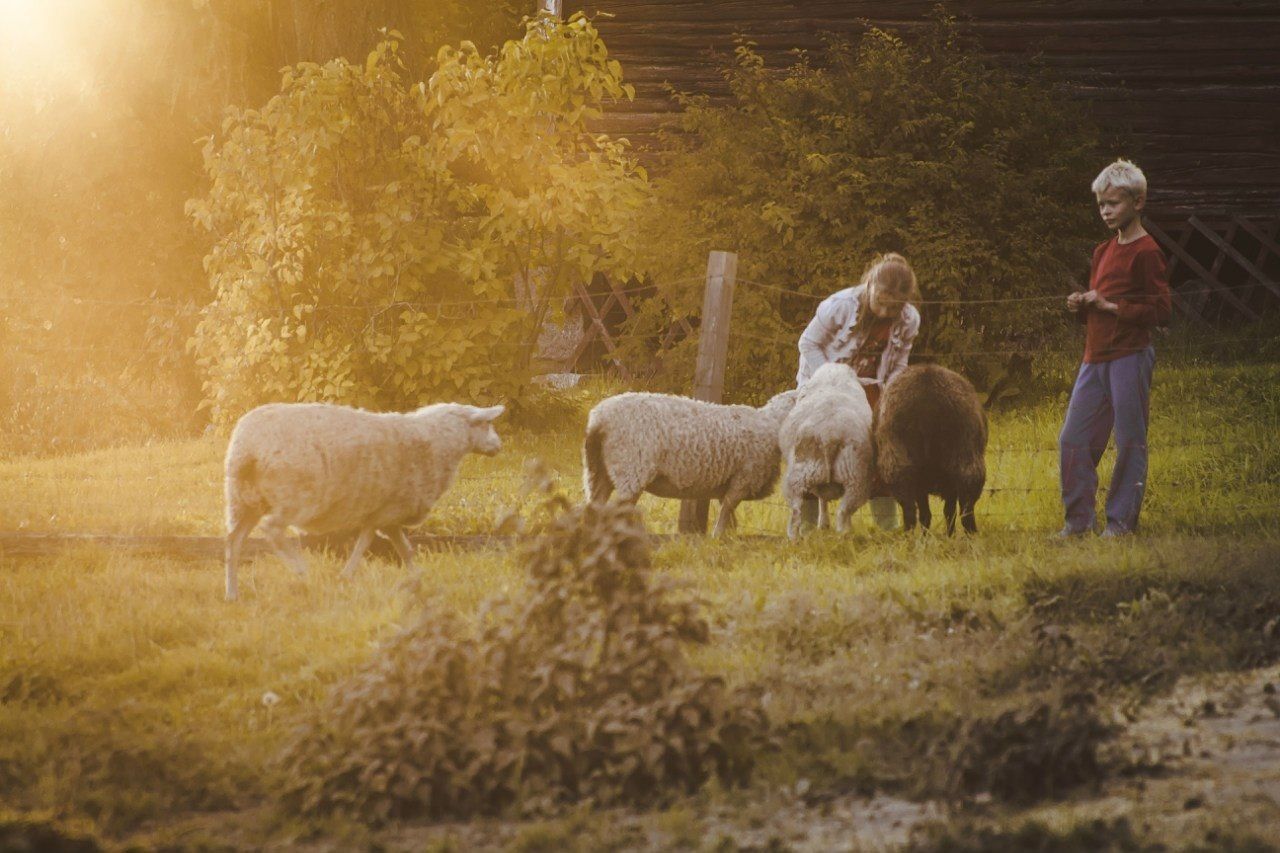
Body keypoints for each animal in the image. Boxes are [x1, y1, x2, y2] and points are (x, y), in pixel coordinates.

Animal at [222, 402, 501, 601]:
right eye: (487, 423)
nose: (499, 446)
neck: (437, 442)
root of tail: (248, 447)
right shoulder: (391, 510)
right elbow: (375, 544)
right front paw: (349, 575)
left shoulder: (384, 513)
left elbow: (394, 547)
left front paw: (416, 578)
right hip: (294, 497)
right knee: (271, 528)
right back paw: (300, 569)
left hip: (244, 499)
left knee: (234, 541)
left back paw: (232, 593)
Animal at [583, 389, 798, 535]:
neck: (772, 424)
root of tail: (599, 419)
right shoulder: (744, 478)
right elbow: (727, 510)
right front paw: (718, 537)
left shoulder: (729, 482)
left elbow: (729, 514)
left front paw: (729, 536)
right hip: (631, 468)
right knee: (617, 510)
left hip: (600, 469)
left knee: (595, 506)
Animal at [773, 361, 875, 537]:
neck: (833, 379)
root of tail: (830, 433)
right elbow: (823, 498)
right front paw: (824, 524)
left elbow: (821, 498)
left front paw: (823, 523)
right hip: (854, 475)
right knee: (844, 510)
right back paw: (845, 534)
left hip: (804, 472)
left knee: (797, 510)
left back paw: (795, 536)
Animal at [875, 363, 983, 532]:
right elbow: (948, 511)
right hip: (965, 455)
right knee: (966, 505)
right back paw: (971, 534)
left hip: (899, 463)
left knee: (910, 509)